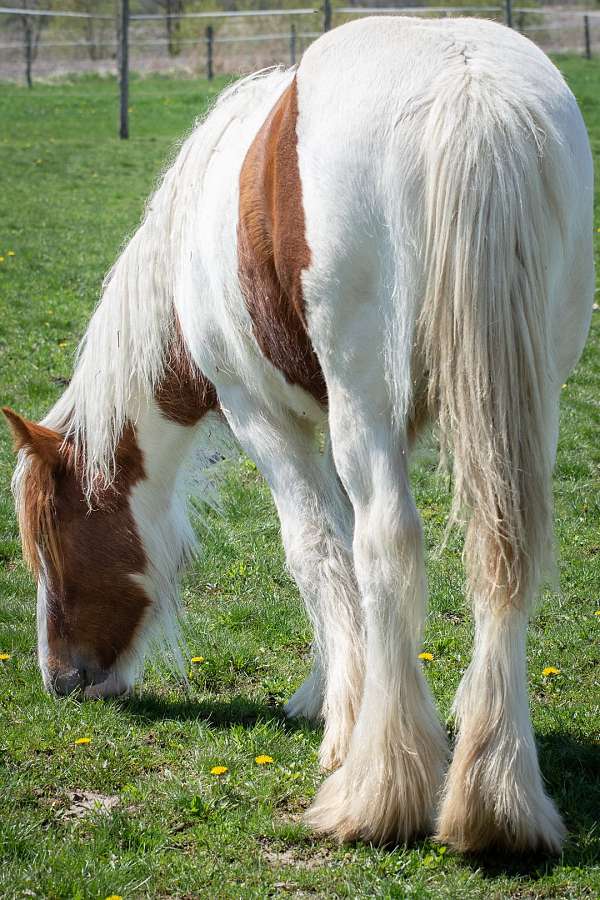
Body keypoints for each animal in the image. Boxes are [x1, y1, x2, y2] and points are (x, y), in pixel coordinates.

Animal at [3, 17, 596, 856]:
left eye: (48, 541)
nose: (61, 679)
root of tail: (468, 89)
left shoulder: (266, 419)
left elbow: (318, 553)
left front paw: (345, 729)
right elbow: (340, 554)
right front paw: (338, 696)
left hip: (365, 406)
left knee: (390, 547)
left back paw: (379, 794)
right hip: (525, 406)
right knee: (504, 554)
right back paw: (496, 800)